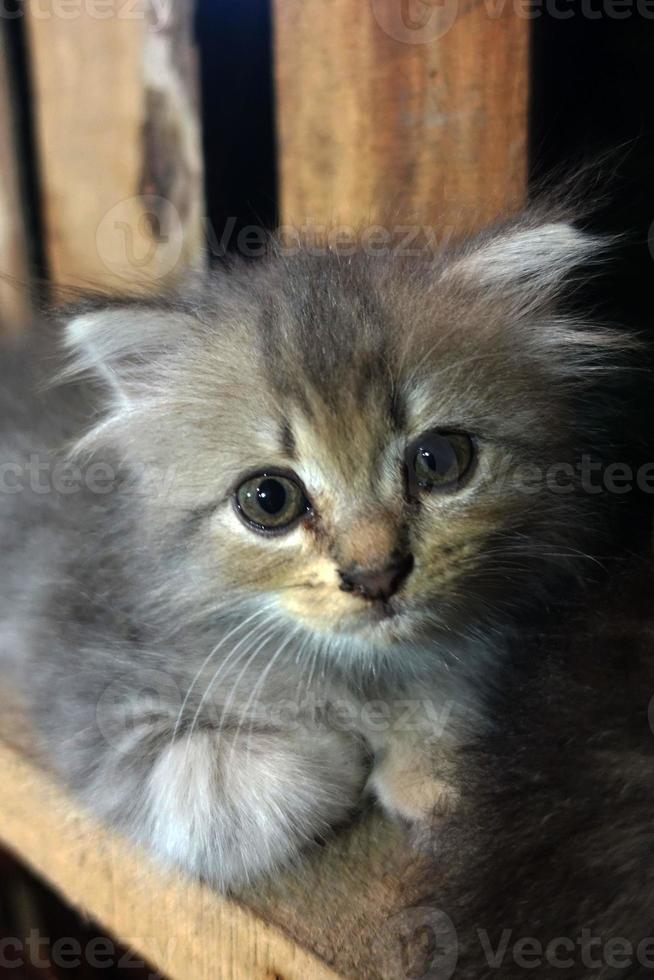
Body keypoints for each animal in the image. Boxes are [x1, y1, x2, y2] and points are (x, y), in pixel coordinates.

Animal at [0, 212, 628, 888]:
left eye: (439, 460)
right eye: (269, 499)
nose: (376, 575)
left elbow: (456, 687)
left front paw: (432, 766)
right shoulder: (86, 673)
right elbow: (241, 791)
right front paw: (335, 739)